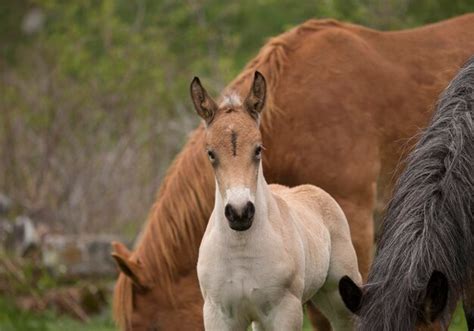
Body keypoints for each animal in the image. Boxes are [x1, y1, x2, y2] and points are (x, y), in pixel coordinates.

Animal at [191, 71, 362, 330]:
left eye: (258, 149)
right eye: (211, 153)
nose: (239, 213)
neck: (241, 249)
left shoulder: (285, 311)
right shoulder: (219, 315)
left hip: (341, 295)